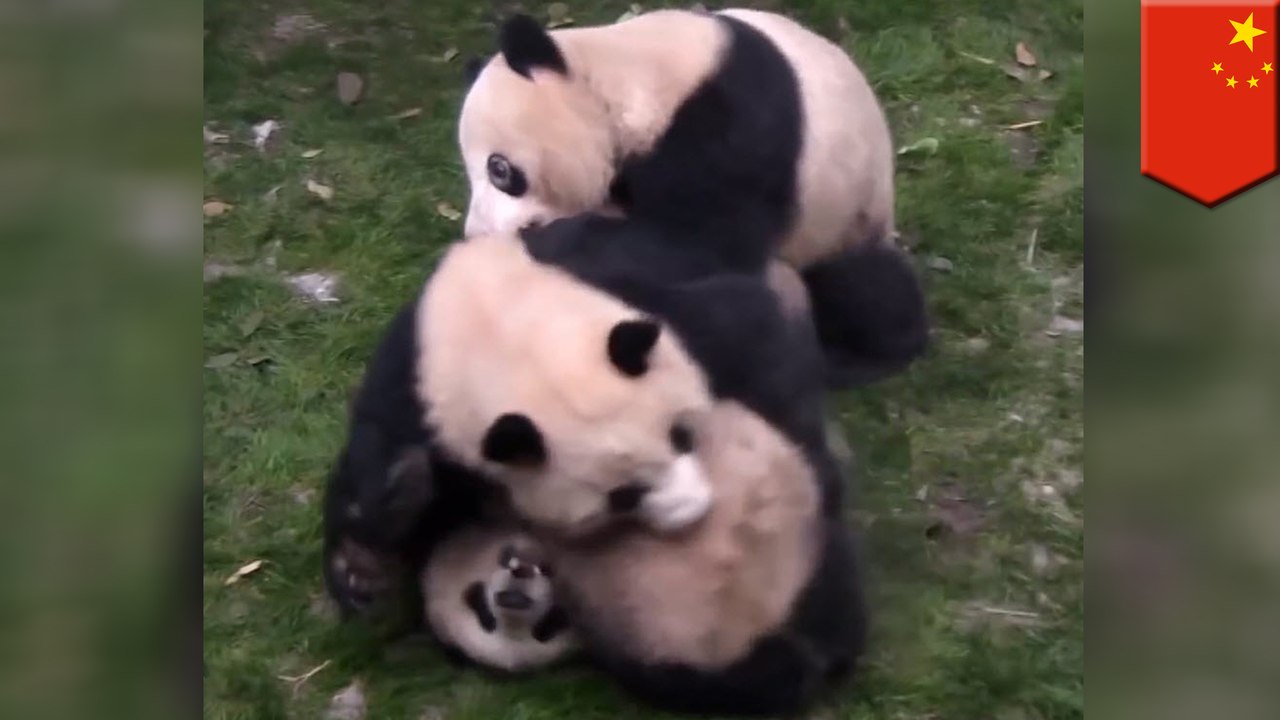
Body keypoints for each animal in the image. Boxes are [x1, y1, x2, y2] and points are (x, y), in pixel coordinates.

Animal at [458, 9, 928, 387]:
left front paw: (551, 242)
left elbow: (705, 242)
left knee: (864, 285)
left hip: (842, 212)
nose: (476, 235)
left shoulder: (732, 124)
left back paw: (864, 356)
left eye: (500, 170)